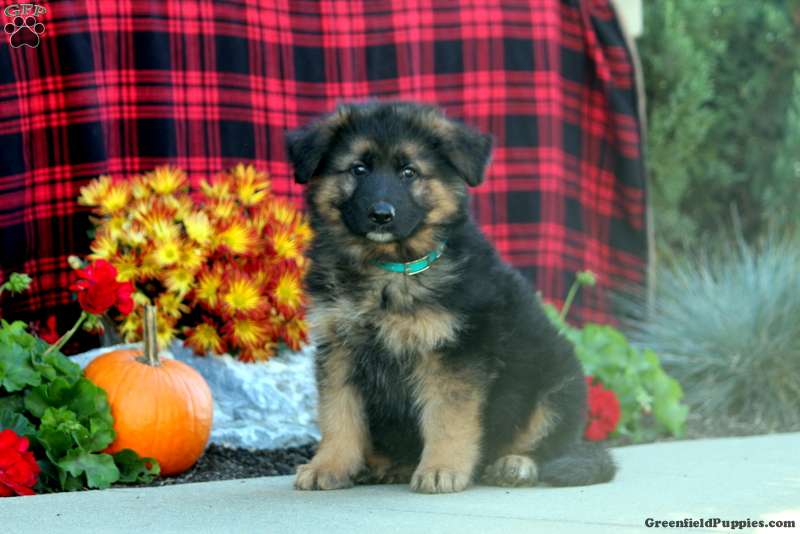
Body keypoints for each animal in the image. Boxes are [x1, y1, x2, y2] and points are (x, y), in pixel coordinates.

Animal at [288, 100, 620, 494]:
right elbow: (338, 414)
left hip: (555, 383)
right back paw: (389, 465)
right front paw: (329, 465)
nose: (381, 215)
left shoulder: (453, 350)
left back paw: (515, 465)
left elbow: (447, 417)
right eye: (358, 168)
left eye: (409, 172)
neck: (387, 268)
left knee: (545, 443)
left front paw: (441, 469)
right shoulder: (338, 349)